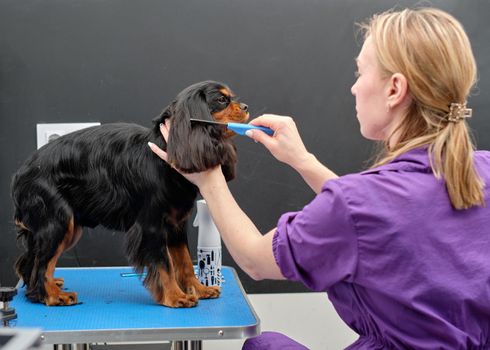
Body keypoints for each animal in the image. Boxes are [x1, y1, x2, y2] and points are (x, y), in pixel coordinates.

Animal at [11, 80, 249, 308]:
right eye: (222, 100)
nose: (246, 107)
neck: (167, 150)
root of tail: (21, 173)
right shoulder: (152, 226)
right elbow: (165, 264)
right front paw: (175, 297)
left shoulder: (176, 225)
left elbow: (184, 261)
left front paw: (198, 289)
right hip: (59, 222)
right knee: (42, 264)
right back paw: (52, 295)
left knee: (31, 262)